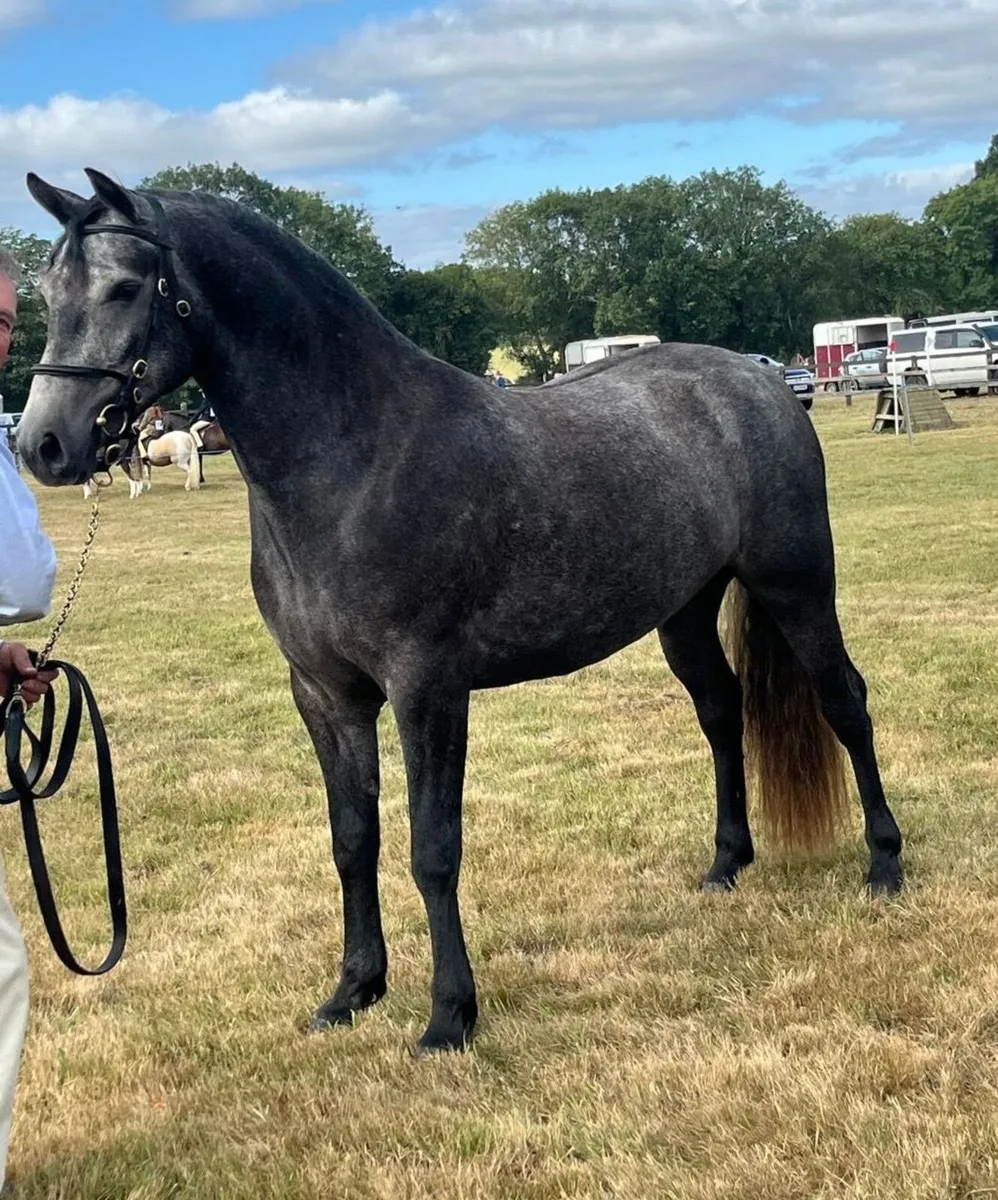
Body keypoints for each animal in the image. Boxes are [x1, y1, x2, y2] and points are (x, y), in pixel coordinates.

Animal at [17, 169, 903, 1056]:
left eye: (125, 286)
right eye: (50, 292)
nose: (44, 446)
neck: (357, 458)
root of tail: (758, 381)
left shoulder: (428, 690)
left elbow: (432, 849)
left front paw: (449, 1016)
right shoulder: (325, 695)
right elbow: (353, 841)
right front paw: (353, 991)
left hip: (796, 586)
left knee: (844, 703)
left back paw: (885, 866)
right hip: (685, 610)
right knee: (722, 711)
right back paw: (726, 865)